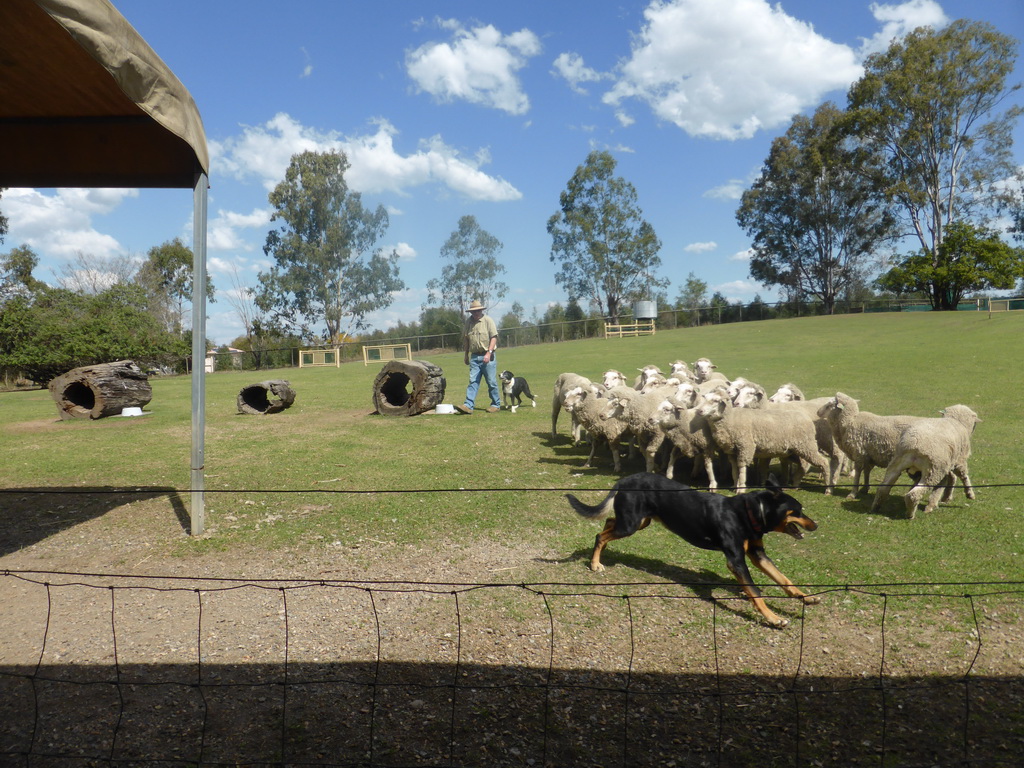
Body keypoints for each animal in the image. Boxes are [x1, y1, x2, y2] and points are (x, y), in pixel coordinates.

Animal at [565, 473, 819, 626]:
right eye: (798, 511)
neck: (750, 514)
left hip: (638, 521)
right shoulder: (736, 560)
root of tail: (627, 478)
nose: (816, 525)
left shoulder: (758, 555)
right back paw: (595, 563)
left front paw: (805, 598)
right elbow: (755, 592)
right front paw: (774, 618)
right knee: (600, 535)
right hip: (631, 524)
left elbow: (783, 579)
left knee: (608, 523)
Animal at [700, 391, 835, 493]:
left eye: (715, 401)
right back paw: (795, 483)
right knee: (805, 465)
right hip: (794, 451)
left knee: (823, 462)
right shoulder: (732, 451)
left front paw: (741, 488)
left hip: (806, 446)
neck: (730, 419)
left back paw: (827, 489)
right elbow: (734, 470)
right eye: (705, 398)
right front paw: (734, 485)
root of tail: (807, 418)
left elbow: (742, 469)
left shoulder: (746, 446)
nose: (700, 411)